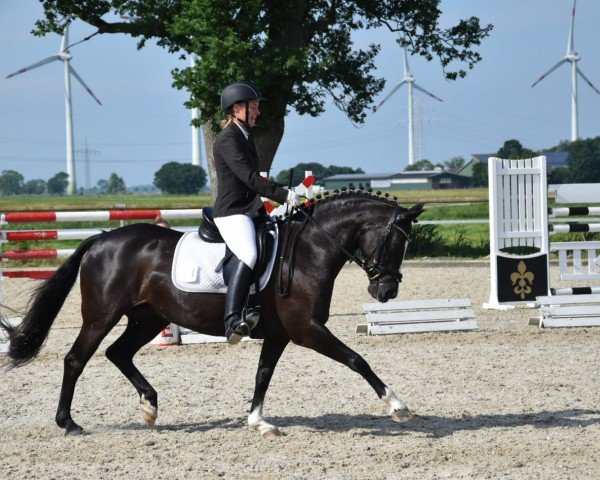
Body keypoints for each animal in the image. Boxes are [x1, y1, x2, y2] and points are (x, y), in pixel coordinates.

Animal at [0, 192, 424, 438]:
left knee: (117, 353)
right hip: (101, 316)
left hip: (148, 318)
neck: (310, 249)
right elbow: (357, 359)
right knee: (76, 359)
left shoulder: (280, 334)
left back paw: (150, 407)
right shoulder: (307, 329)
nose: (386, 292)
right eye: (393, 241)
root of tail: (101, 239)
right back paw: (69, 423)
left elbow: (263, 375)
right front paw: (397, 406)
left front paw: (258, 422)